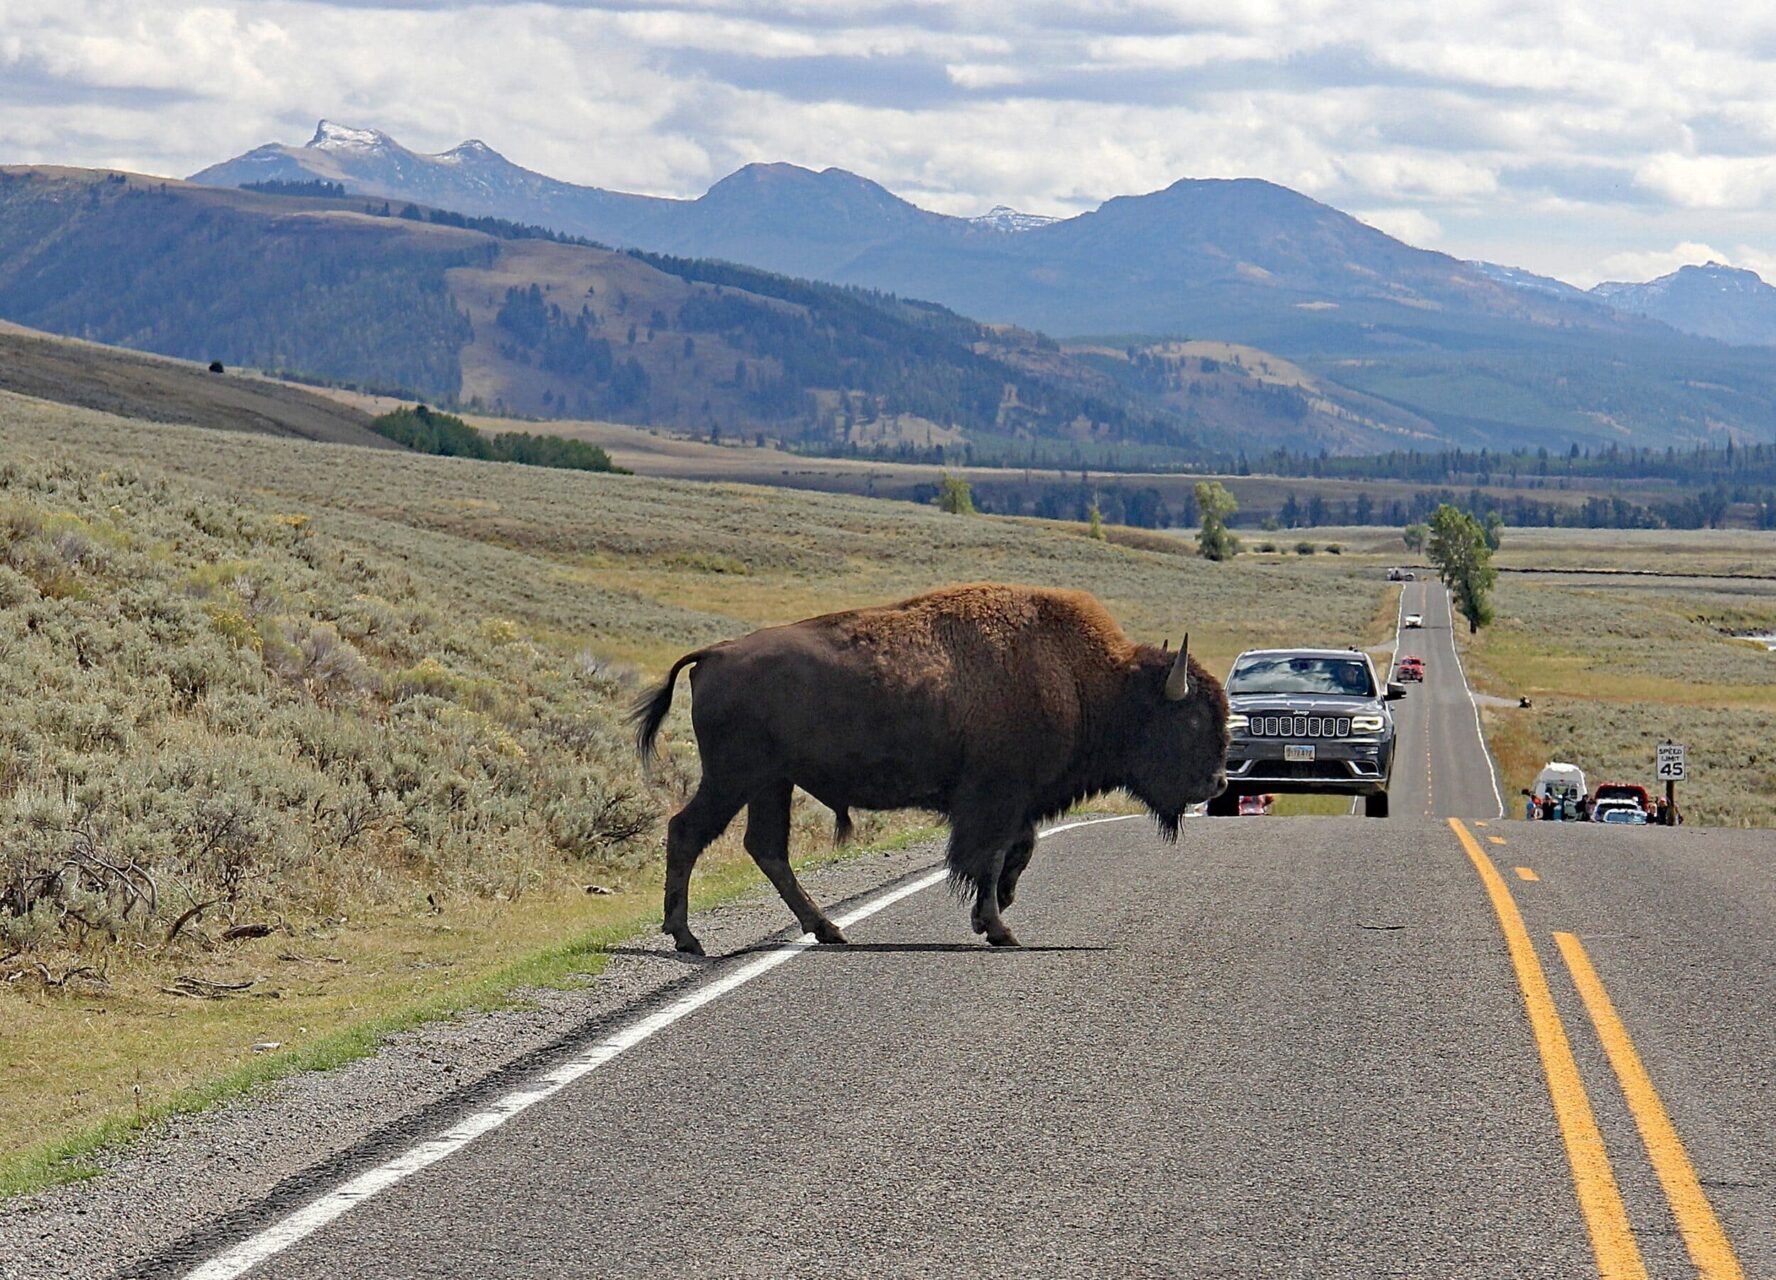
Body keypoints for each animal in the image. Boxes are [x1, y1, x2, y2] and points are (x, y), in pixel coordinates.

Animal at [632, 582, 1228, 953]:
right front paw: (998, 927)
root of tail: (715, 653)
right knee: (688, 831)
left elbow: (1018, 852)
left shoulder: (1015, 802)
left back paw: (826, 929)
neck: (1087, 679)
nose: (1217, 781)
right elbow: (991, 858)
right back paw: (688, 938)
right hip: (734, 777)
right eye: (1193, 719)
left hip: (770, 782)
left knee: (765, 848)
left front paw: (993, 915)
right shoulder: (994, 799)